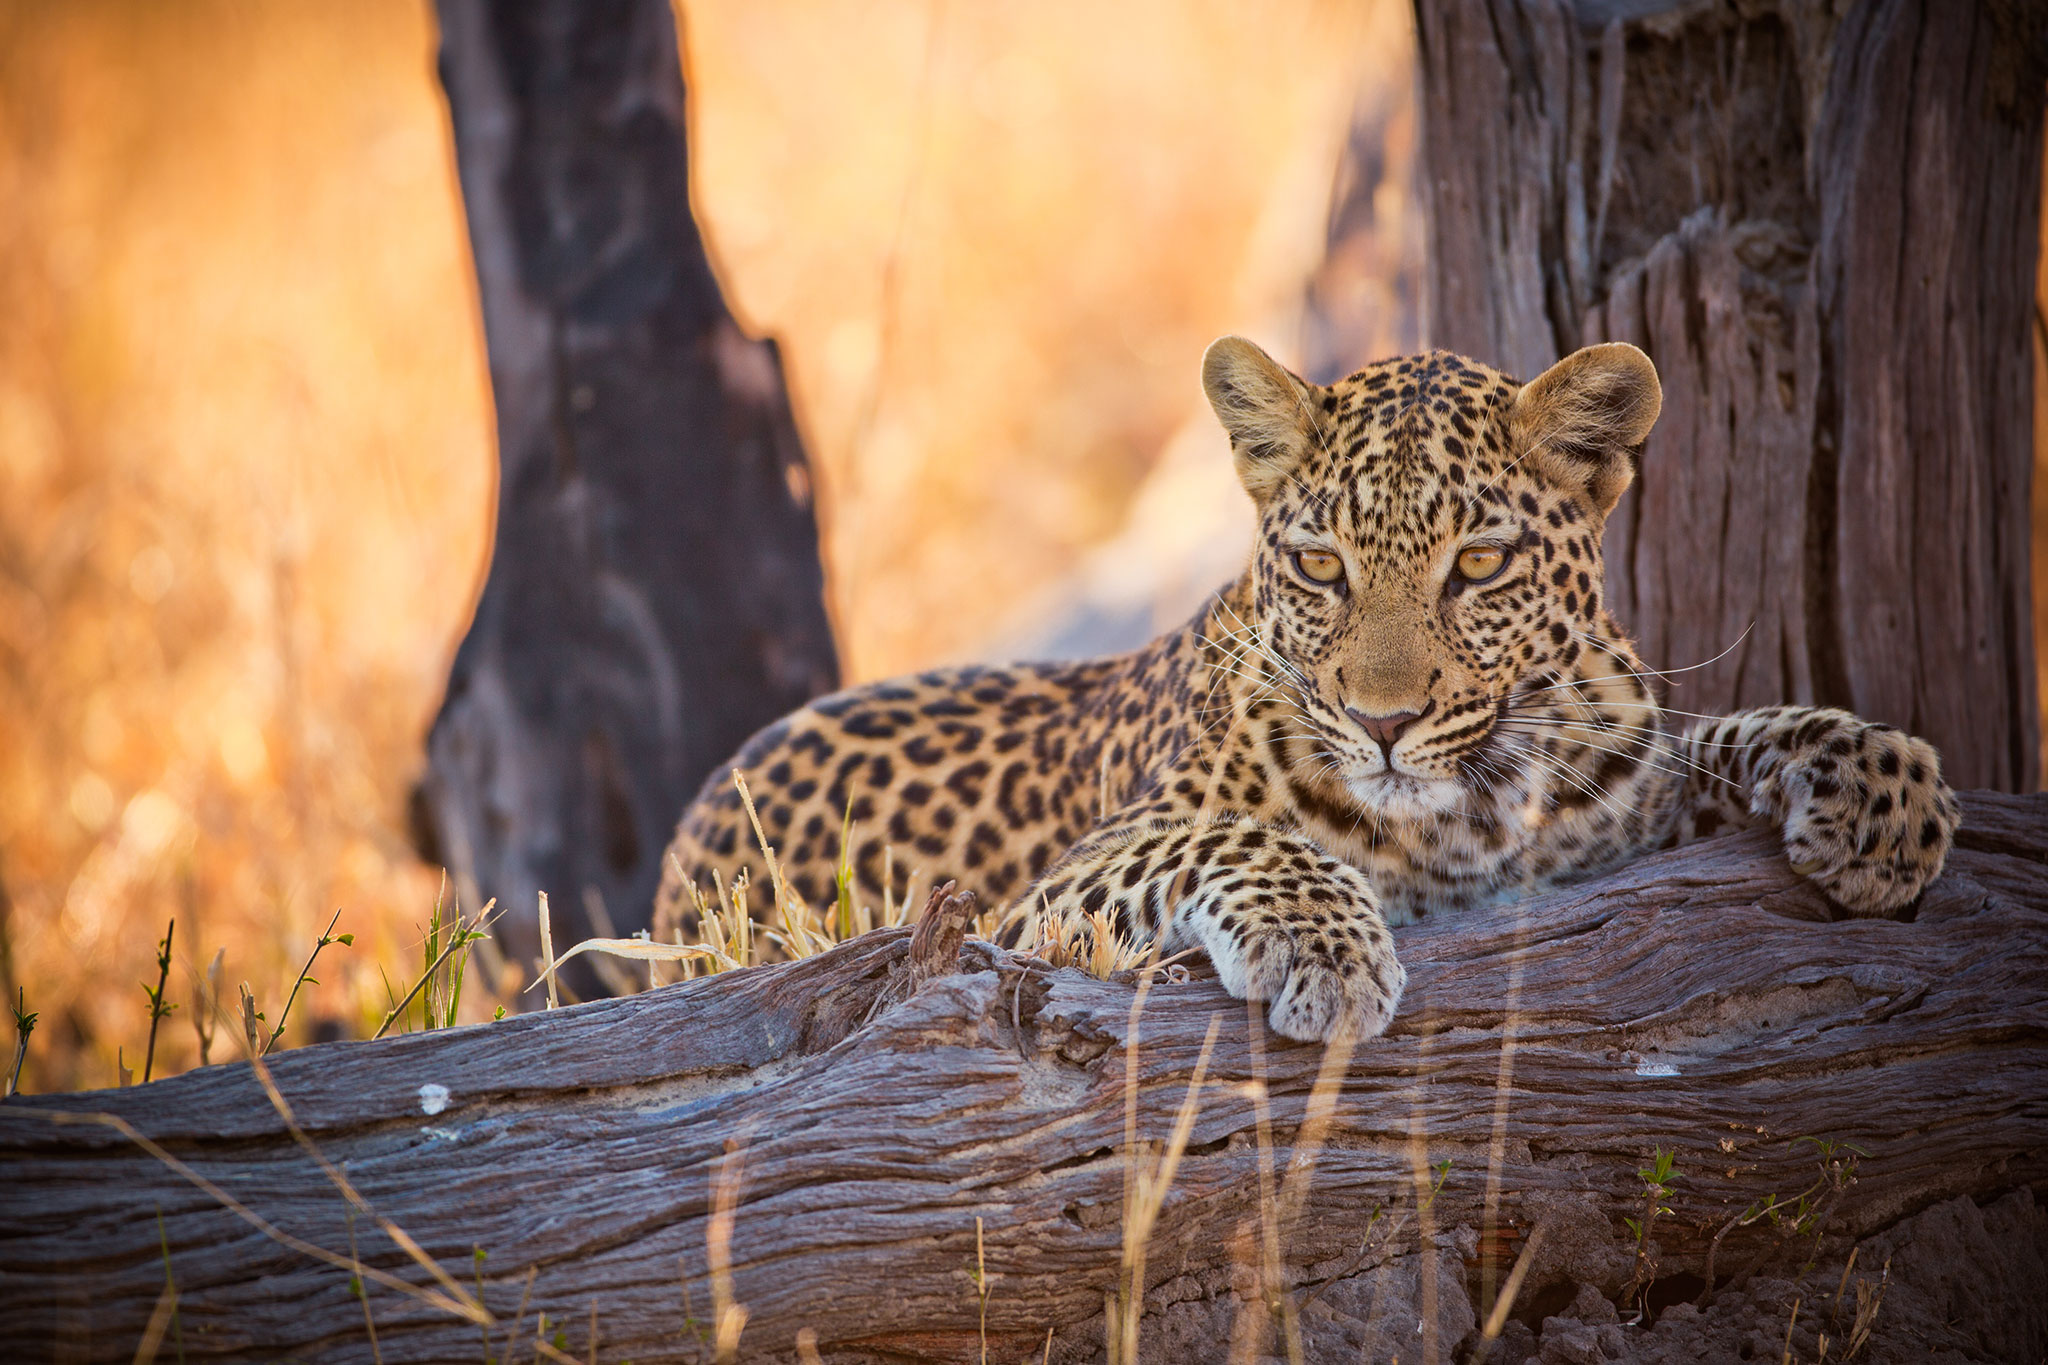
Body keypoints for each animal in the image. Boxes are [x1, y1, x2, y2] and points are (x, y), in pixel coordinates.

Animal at [655, 339, 1966, 1047]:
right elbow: (1230, 836)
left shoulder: (1623, 806)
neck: (1467, 816)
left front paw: (1877, 789)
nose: (1384, 725)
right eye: (1322, 565)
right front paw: (1323, 951)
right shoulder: (1039, 906)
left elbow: (1718, 730)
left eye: (1475, 565)